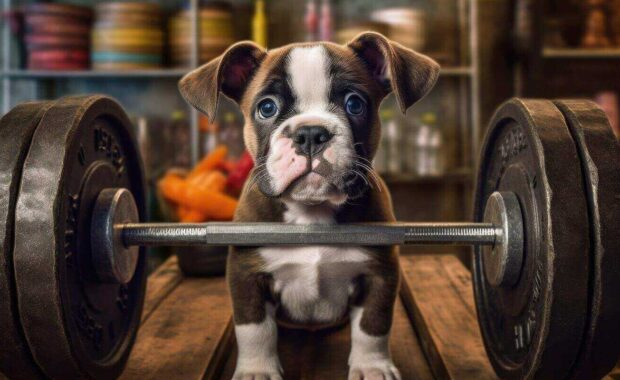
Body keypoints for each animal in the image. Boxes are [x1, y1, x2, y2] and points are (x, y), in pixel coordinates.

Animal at [179, 32, 440, 380]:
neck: (312, 213)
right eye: (266, 108)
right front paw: (256, 371)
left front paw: (373, 367)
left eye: (354, 103)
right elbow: (254, 329)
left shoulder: (380, 274)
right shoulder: (246, 275)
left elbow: (373, 325)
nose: (311, 133)